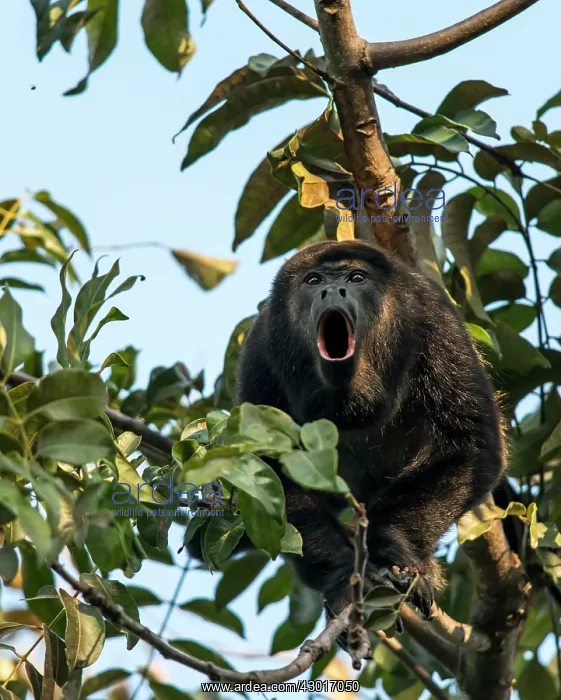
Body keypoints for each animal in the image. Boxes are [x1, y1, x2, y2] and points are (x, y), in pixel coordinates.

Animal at [235, 239, 506, 623]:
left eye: (357, 278)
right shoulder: (261, 352)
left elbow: (467, 443)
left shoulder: (435, 321)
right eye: (314, 280)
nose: (332, 290)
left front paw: (395, 548)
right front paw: (342, 575)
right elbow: (272, 474)